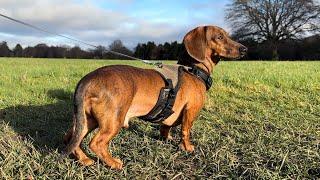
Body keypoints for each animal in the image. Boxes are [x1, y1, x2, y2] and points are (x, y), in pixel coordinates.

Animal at [63, 25, 248, 170]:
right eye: (219, 37)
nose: (245, 49)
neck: (193, 69)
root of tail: (87, 80)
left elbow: (166, 128)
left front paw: (167, 139)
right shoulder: (190, 111)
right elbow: (186, 132)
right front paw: (187, 147)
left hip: (88, 120)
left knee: (71, 137)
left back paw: (84, 159)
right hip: (113, 120)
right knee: (96, 143)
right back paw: (113, 163)